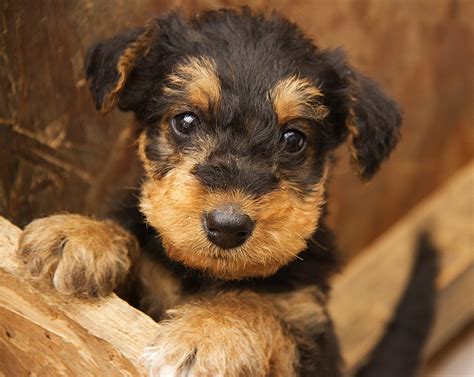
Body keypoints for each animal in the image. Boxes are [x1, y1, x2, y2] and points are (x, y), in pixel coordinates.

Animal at [17, 8, 408, 376]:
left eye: (294, 139)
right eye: (186, 121)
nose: (227, 227)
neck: (203, 275)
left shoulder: (308, 334)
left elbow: (257, 306)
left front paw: (207, 334)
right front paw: (82, 234)